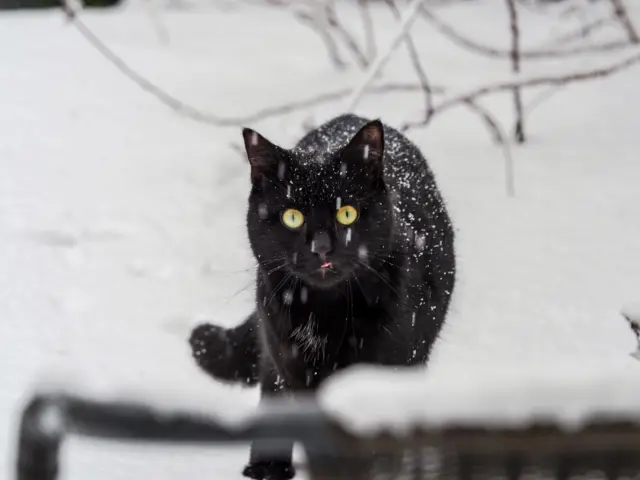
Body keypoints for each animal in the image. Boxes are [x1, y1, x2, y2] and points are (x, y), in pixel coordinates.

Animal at [189, 114, 456, 478]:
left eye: (347, 213)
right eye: (292, 217)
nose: (322, 248)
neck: (326, 315)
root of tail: (351, 117)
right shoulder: (291, 364)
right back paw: (265, 468)